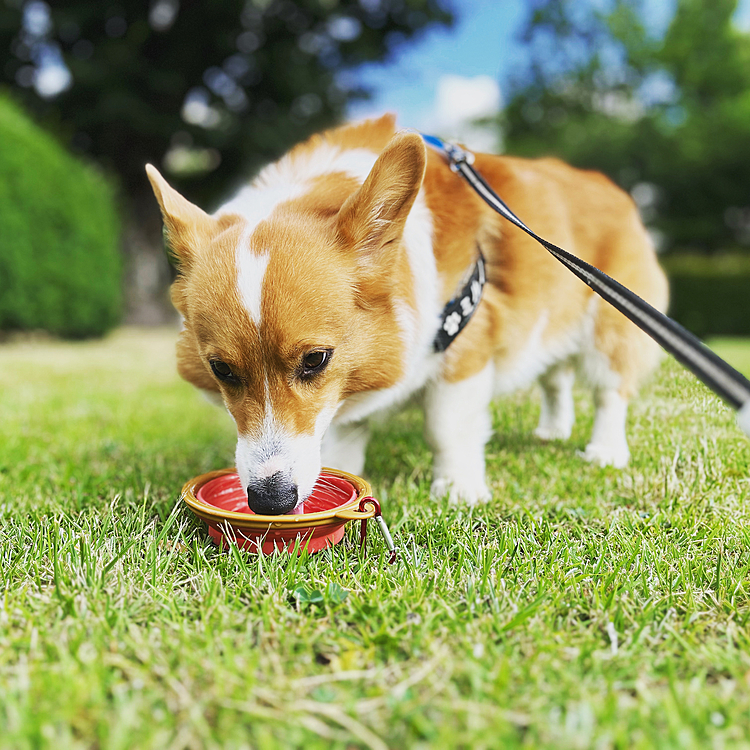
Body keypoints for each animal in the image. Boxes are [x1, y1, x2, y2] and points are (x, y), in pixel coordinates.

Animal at [147, 114, 668, 516]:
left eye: (315, 360)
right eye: (221, 370)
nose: (269, 502)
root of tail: (610, 186)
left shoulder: (463, 349)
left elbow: (447, 427)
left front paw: (459, 488)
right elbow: (345, 432)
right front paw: (343, 471)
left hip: (608, 332)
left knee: (609, 391)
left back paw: (604, 451)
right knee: (554, 375)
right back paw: (551, 430)